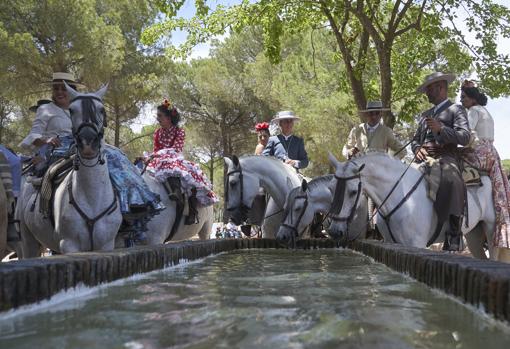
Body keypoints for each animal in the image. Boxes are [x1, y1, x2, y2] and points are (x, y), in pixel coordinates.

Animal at [17, 82, 123, 254]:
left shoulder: (106, 246)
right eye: (72, 110)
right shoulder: (69, 245)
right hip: (28, 241)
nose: (88, 143)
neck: (92, 199)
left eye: (101, 109)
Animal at [326, 152, 494, 258]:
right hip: (473, 235)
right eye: (330, 188)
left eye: (353, 191)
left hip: (491, 231)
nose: (334, 231)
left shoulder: (417, 244)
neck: (401, 193)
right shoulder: (390, 243)